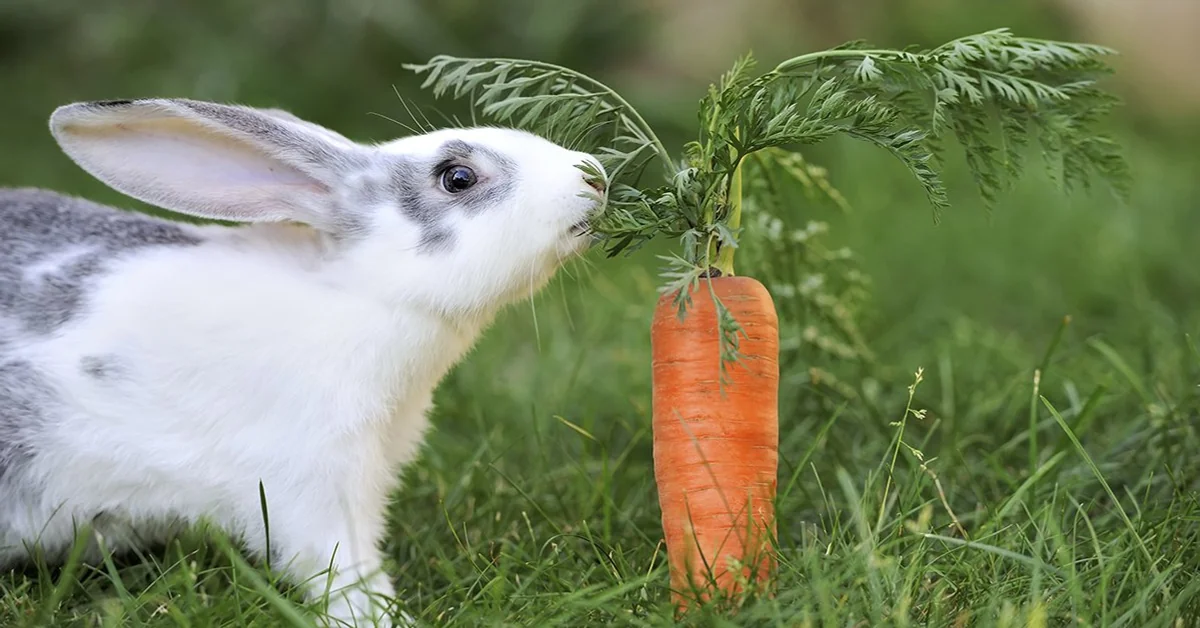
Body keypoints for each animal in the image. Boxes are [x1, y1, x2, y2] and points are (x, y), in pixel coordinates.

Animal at [0, 96, 604, 624]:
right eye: (457, 177)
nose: (594, 176)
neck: (360, 292)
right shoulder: (312, 482)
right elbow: (344, 567)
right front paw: (383, 619)